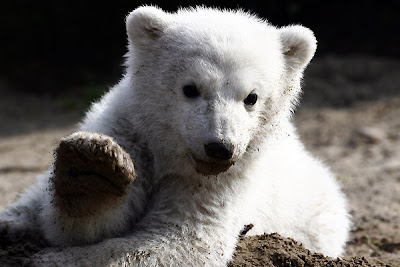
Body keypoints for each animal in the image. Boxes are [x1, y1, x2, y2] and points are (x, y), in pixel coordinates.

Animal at [0, 5, 348, 266]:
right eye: (190, 88)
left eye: (252, 97)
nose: (220, 147)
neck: (170, 151)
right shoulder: (130, 132)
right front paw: (92, 170)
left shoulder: (220, 182)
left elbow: (181, 240)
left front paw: (55, 259)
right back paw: (12, 223)